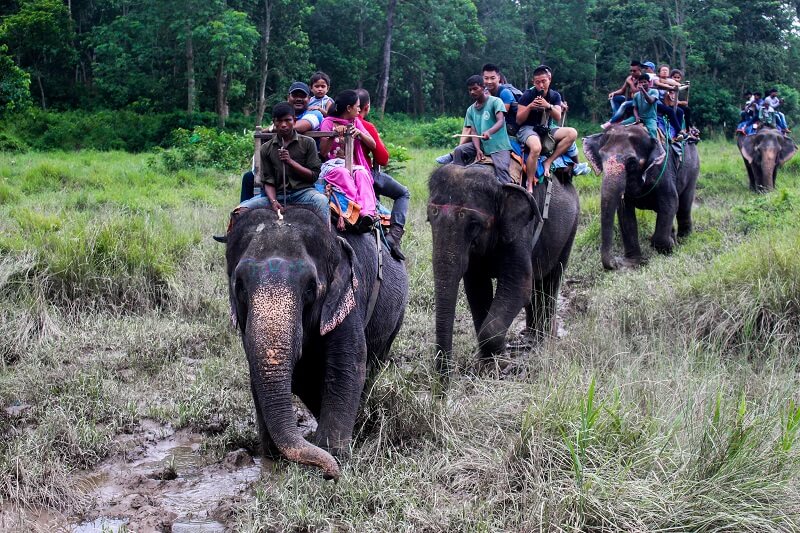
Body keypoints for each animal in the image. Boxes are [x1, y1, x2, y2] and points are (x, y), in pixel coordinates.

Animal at [224, 207, 408, 480]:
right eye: (240, 286)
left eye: (311, 288)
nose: (331, 475)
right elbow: (265, 373)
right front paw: (273, 457)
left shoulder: (348, 296)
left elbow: (347, 366)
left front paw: (333, 453)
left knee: (373, 365)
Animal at [428, 164, 579, 378]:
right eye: (429, 219)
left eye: (474, 224)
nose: (444, 381)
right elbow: (477, 288)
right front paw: (487, 362)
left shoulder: (520, 230)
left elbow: (519, 284)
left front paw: (502, 365)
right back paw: (530, 338)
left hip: (570, 228)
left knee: (551, 280)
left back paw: (545, 340)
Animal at [583, 125, 700, 270]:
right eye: (601, 156)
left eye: (632, 162)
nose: (615, 263)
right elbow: (625, 213)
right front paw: (634, 262)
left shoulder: (664, 169)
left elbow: (670, 202)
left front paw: (670, 246)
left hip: (693, 168)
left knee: (684, 204)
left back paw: (684, 240)